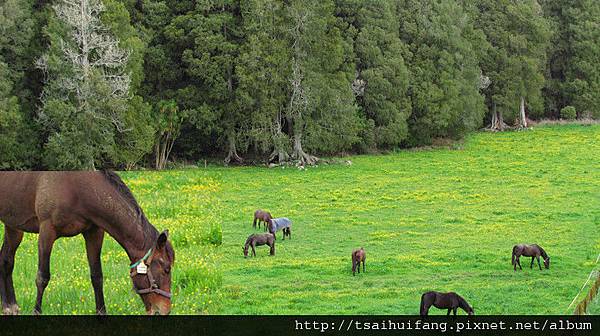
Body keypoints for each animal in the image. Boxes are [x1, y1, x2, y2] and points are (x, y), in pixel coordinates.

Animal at [0, 171, 175, 316]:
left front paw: (101, 312)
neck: (77, 188)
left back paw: (9, 306)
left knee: (6, 261)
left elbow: (97, 276)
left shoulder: (94, 233)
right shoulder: (46, 231)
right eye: (166, 269)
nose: (165, 310)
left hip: (13, 226)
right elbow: (42, 277)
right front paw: (36, 312)